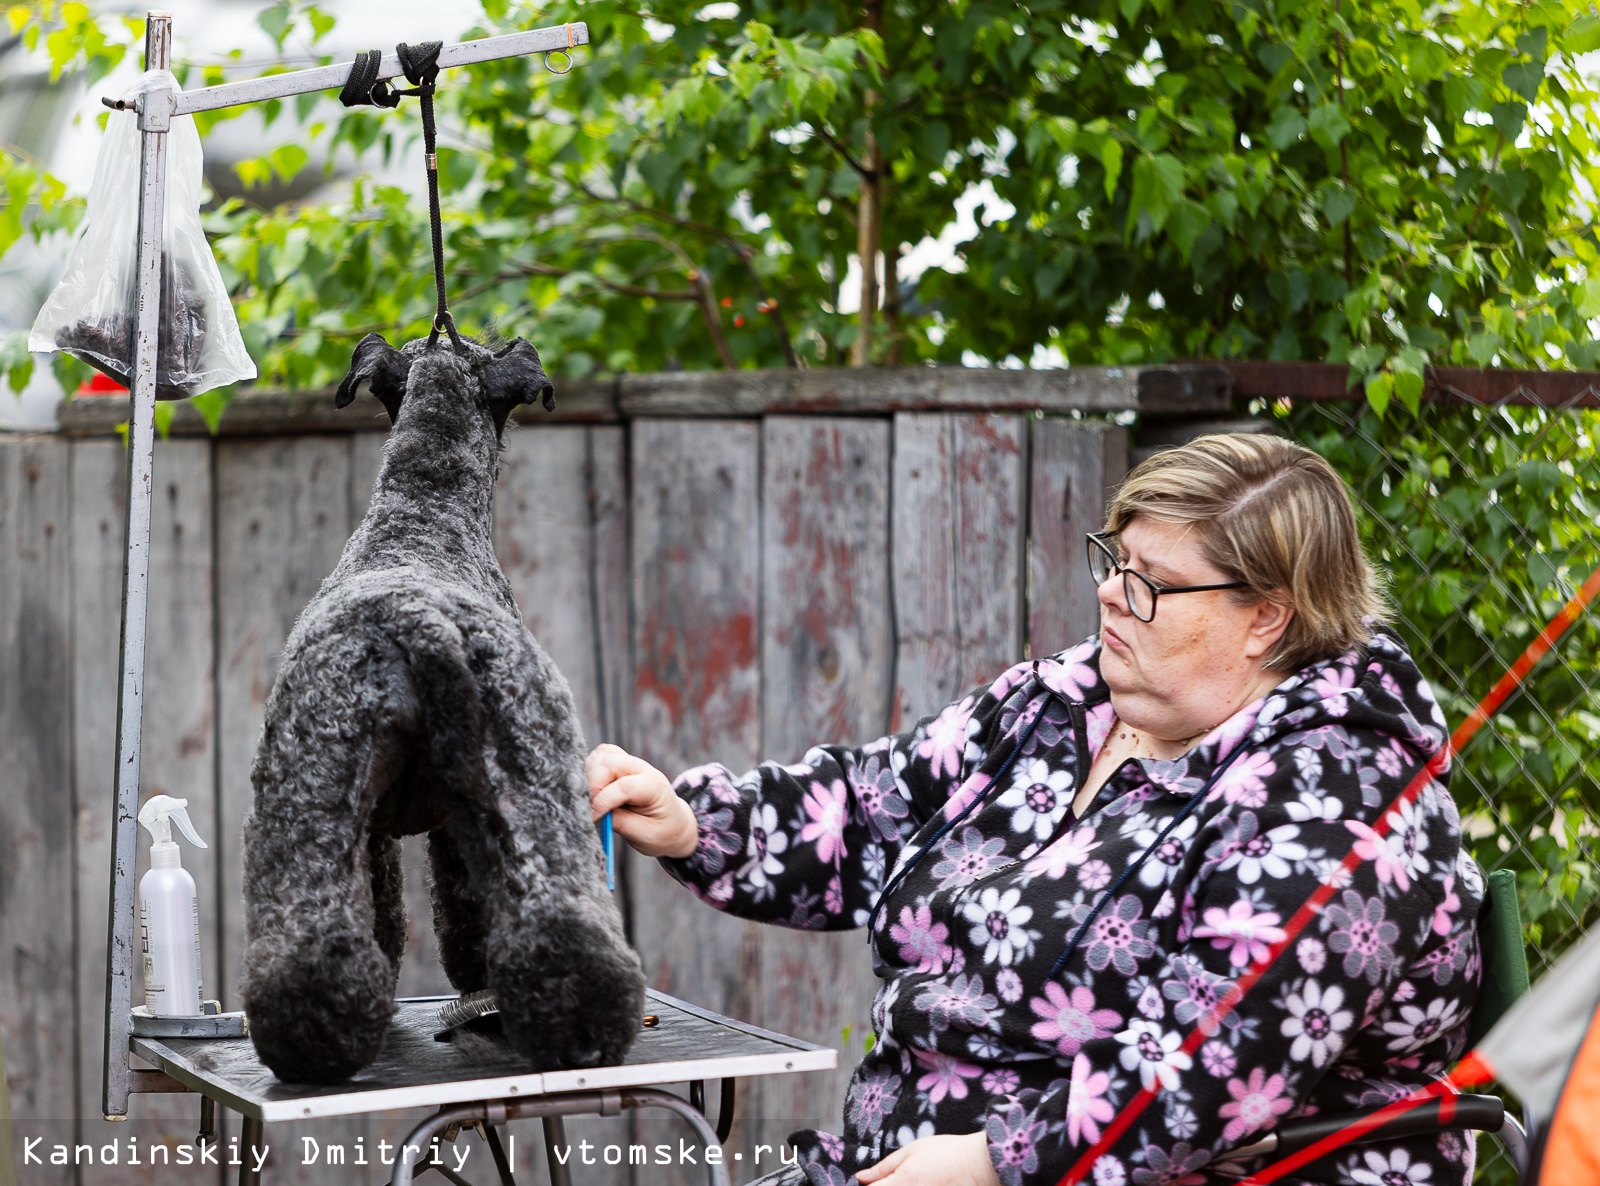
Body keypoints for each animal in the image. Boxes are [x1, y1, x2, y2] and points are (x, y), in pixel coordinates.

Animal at [243, 332, 643, 1081]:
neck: (421, 519)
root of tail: (419, 623)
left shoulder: (375, 830)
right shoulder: (465, 822)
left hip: (307, 814)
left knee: (316, 947)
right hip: (530, 793)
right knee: (563, 925)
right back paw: (583, 1030)